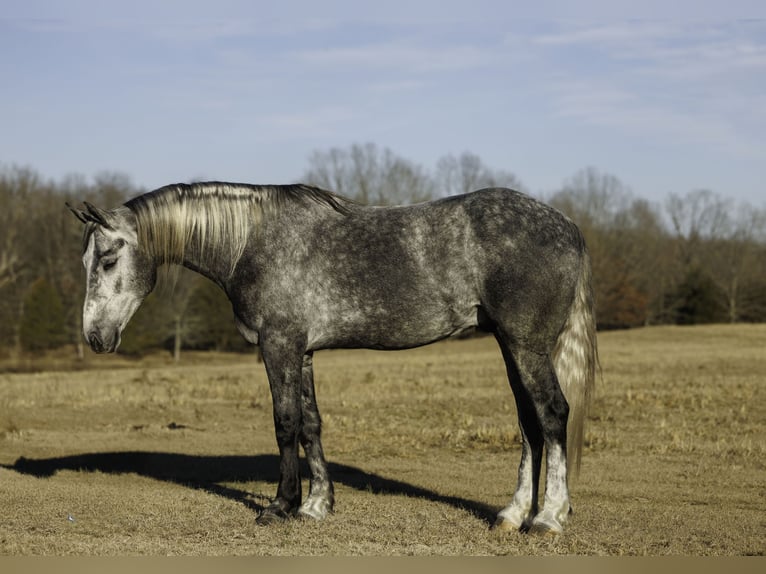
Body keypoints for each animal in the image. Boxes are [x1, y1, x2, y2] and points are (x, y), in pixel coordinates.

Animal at [68, 182, 597, 534]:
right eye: (87, 261)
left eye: (108, 260)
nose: (95, 337)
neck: (251, 243)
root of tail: (568, 226)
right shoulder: (302, 351)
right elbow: (311, 424)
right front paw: (317, 505)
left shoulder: (278, 344)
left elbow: (284, 424)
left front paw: (280, 506)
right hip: (510, 345)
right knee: (529, 424)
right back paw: (512, 514)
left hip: (526, 345)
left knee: (553, 414)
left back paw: (548, 518)